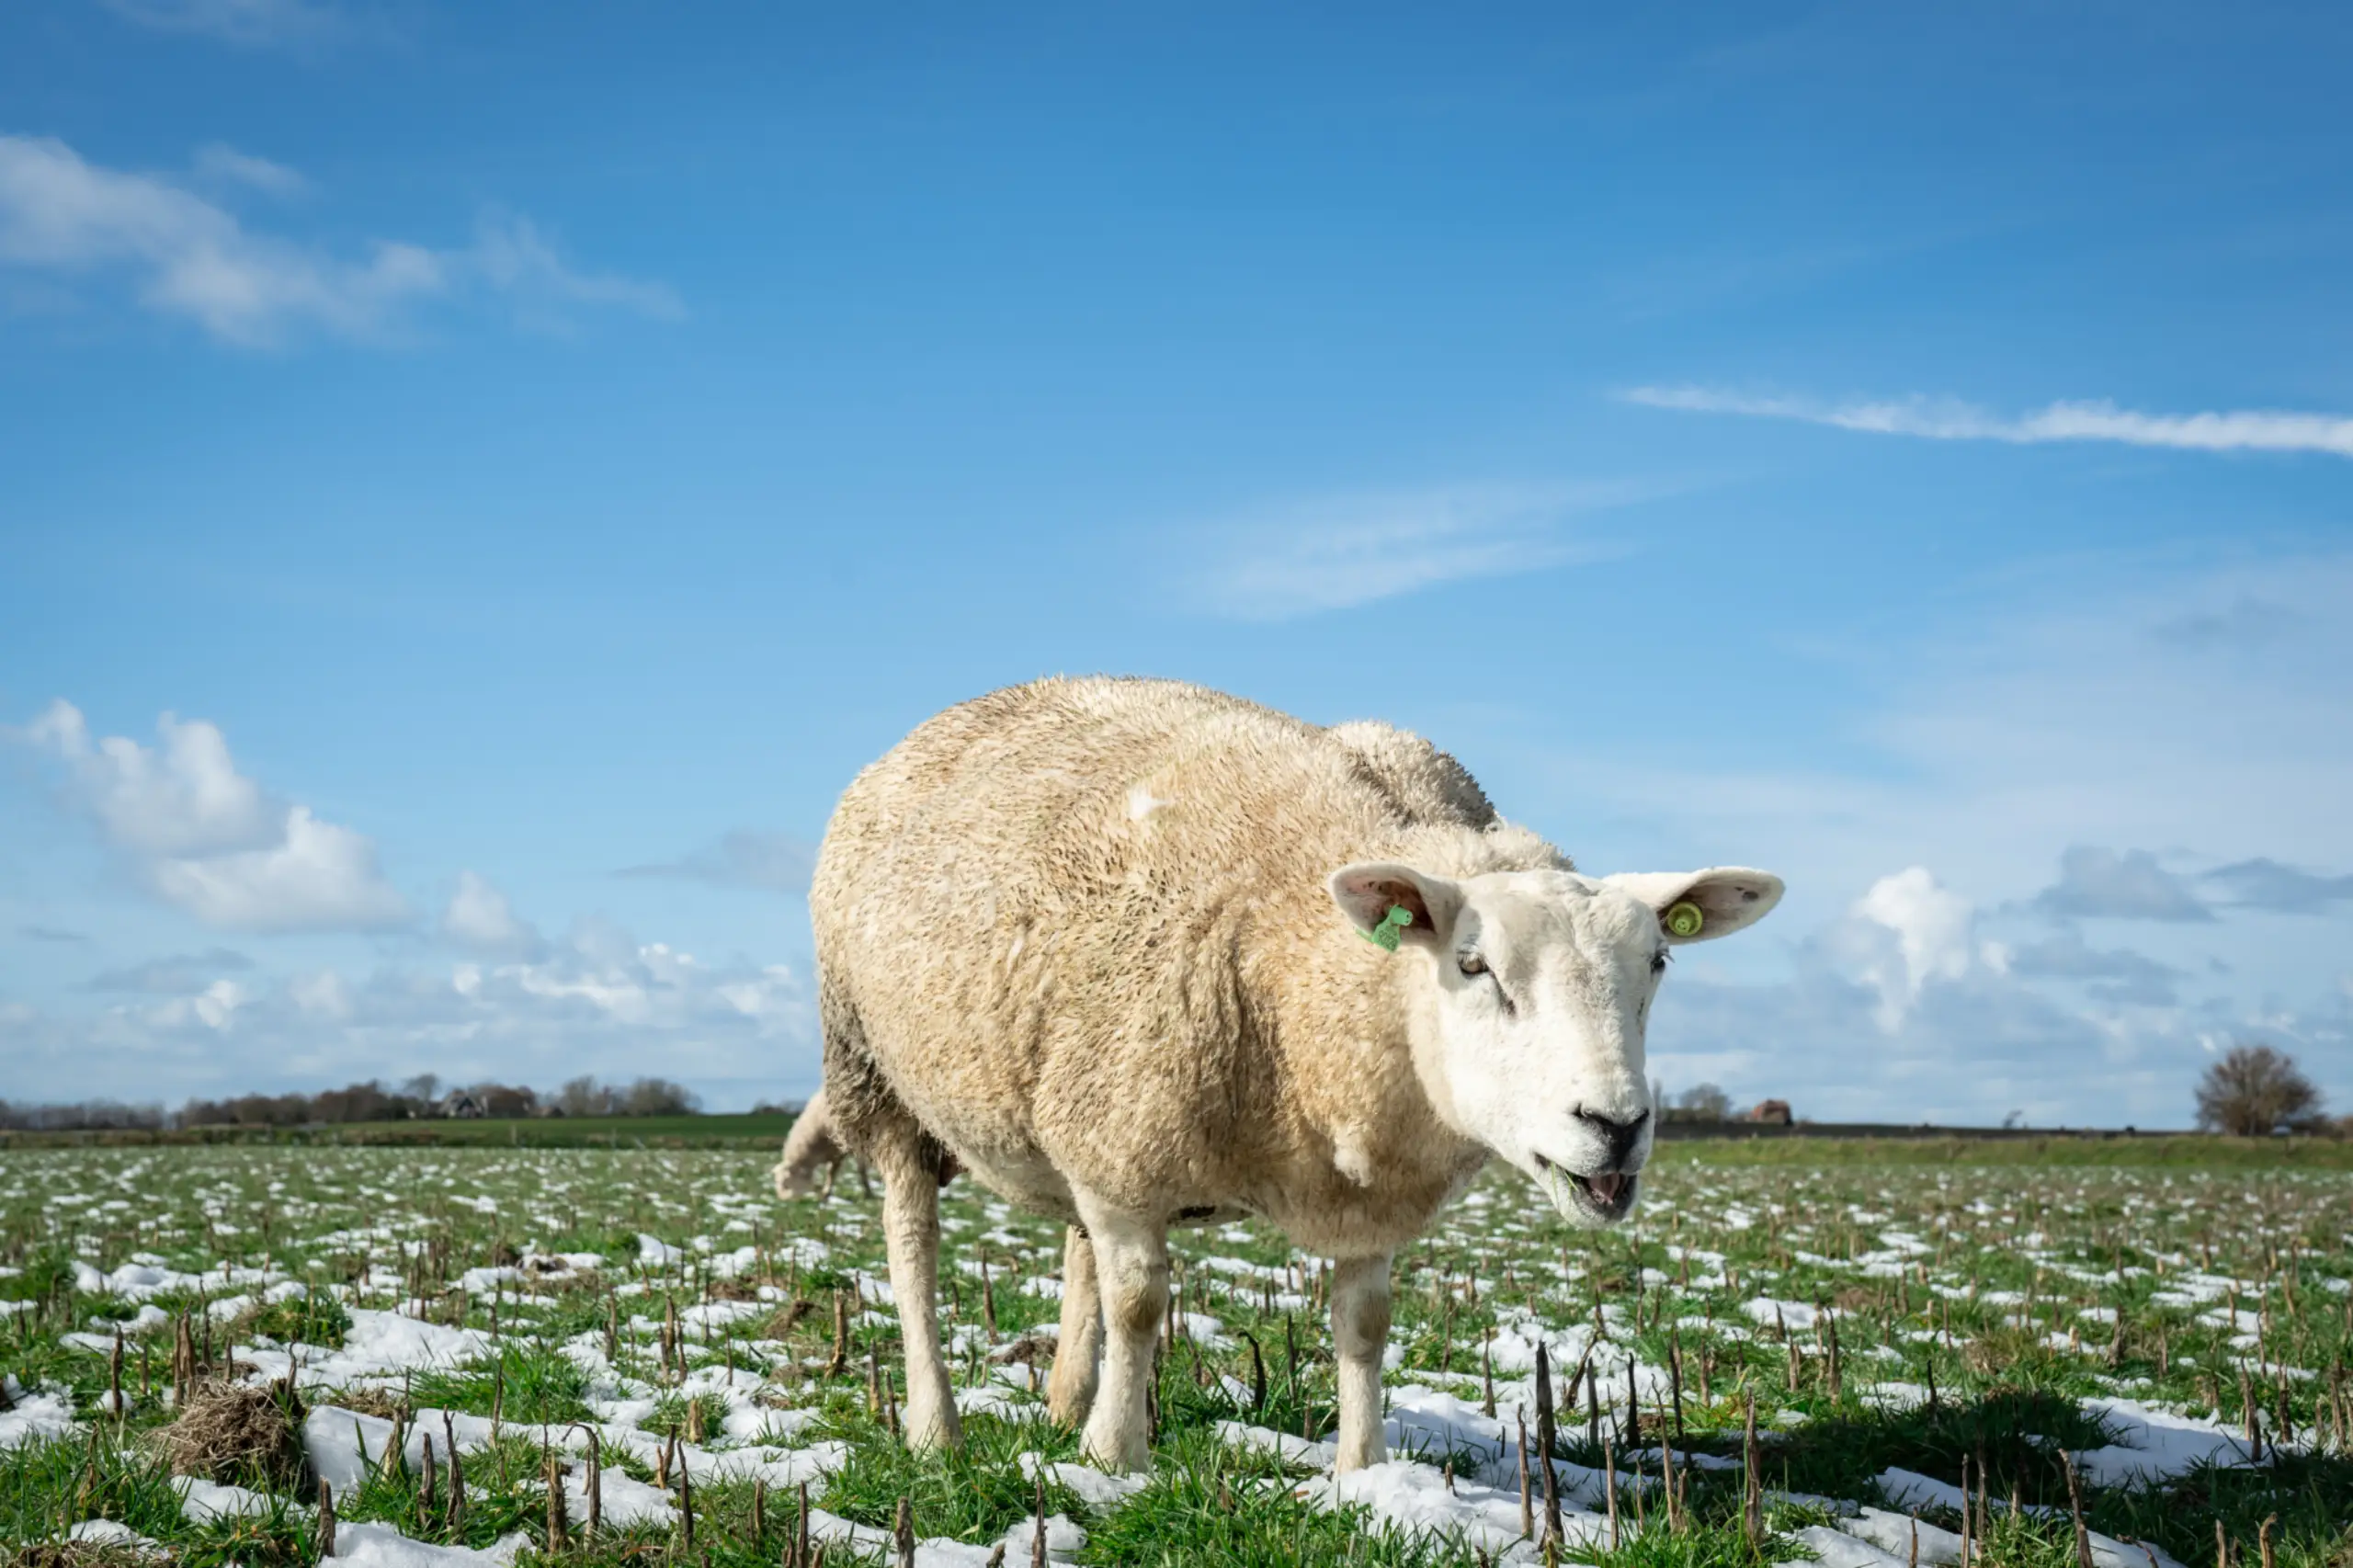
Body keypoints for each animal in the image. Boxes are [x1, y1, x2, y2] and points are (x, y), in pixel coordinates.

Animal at [812, 676, 1782, 1473]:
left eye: (1658, 961)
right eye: (1474, 966)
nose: (1616, 1125)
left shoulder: (1350, 1192)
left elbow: (1364, 1326)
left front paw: (1364, 1473)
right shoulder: (1130, 1147)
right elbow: (1139, 1304)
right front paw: (1115, 1460)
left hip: (1075, 1101)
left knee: (1077, 1244)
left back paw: (1060, 1403)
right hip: (875, 1071)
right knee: (913, 1244)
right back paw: (935, 1427)